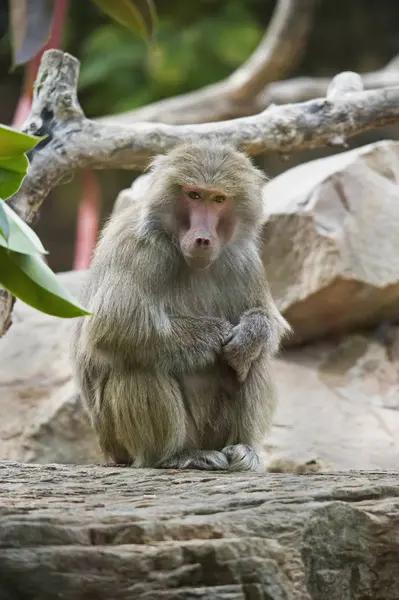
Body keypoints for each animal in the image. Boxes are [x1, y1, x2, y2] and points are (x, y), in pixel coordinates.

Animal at [72, 138, 290, 472]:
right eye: (193, 195)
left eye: (218, 199)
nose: (203, 239)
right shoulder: (138, 246)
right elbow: (113, 326)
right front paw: (212, 335)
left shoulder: (244, 260)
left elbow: (267, 322)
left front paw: (249, 335)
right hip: (119, 441)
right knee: (137, 360)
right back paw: (175, 456)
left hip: (214, 432)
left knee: (256, 360)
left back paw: (243, 449)